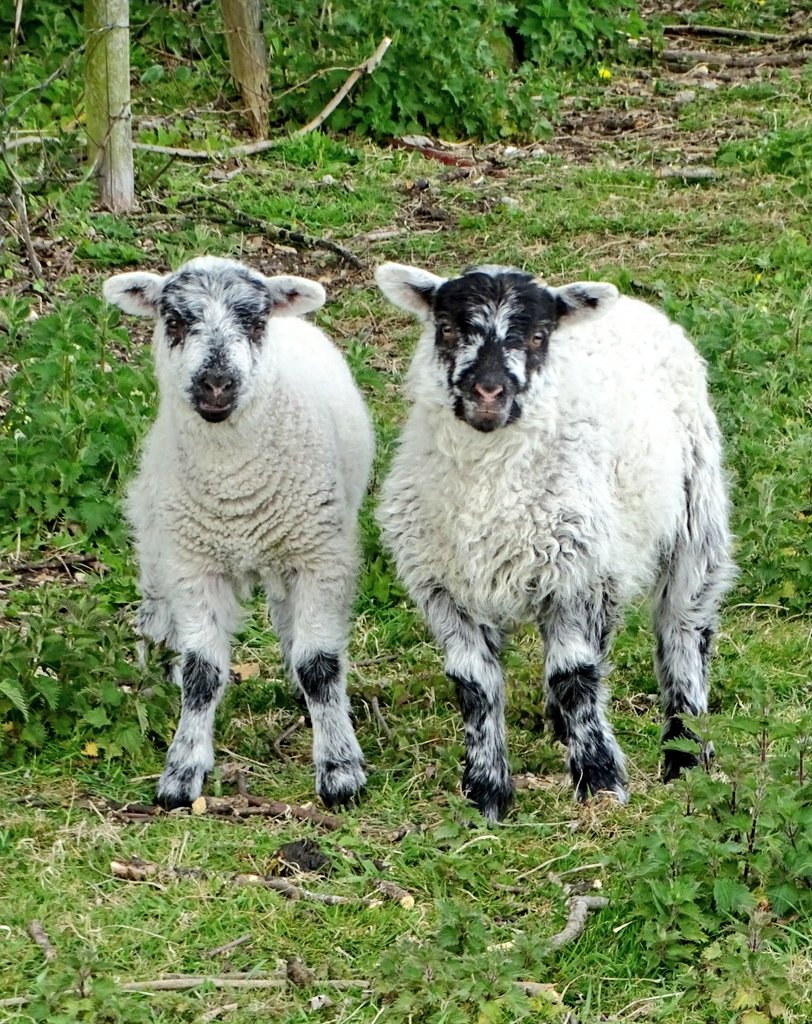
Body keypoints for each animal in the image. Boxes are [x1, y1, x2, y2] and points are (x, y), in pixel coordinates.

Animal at [102, 253, 376, 806]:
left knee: (288, 619)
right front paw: (182, 770)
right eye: (174, 321)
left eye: (255, 322)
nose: (216, 383)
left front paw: (340, 769)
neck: (235, 488)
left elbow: (320, 666)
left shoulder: (320, 557)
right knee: (155, 613)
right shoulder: (193, 566)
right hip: (156, 532)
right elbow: (202, 674)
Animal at [376, 260, 733, 819]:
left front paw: (600, 782)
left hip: (695, 512)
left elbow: (573, 674)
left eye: (538, 336)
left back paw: (685, 753)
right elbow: (473, 684)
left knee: (684, 627)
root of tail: (632, 304)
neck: (488, 491)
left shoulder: (573, 575)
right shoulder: (445, 586)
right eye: (448, 328)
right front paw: (486, 794)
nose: (488, 393)